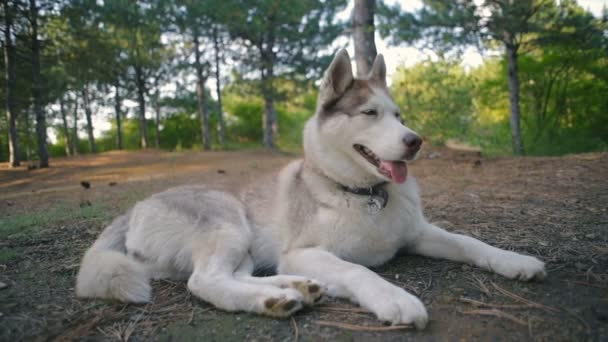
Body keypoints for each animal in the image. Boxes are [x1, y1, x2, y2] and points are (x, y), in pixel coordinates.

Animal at [76, 50, 548, 328]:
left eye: (398, 114)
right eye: (371, 113)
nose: (415, 141)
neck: (364, 194)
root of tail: (136, 205)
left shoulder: (418, 234)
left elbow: (470, 242)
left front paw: (515, 261)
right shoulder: (304, 249)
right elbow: (359, 270)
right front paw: (393, 298)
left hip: (244, 247)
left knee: (238, 275)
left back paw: (298, 288)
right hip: (228, 222)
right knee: (206, 282)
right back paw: (274, 301)